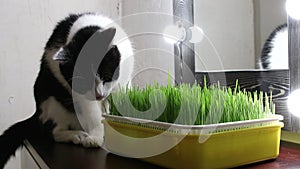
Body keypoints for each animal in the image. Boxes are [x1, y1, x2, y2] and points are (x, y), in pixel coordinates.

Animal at [0, 12, 134, 168]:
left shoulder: (124, 81)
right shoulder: (79, 93)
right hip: (53, 103)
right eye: (82, 83)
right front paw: (95, 137)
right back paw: (76, 135)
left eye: (106, 75)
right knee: (54, 132)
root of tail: (36, 114)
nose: (98, 95)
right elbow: (92, 113)